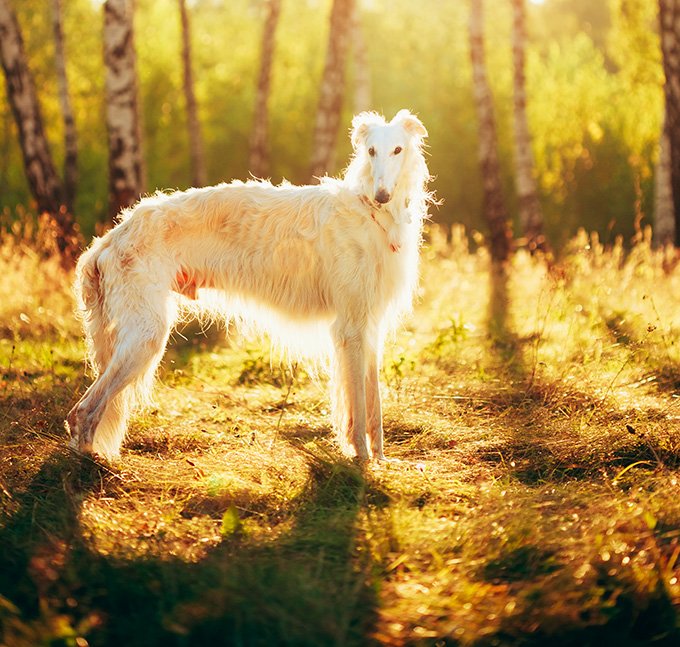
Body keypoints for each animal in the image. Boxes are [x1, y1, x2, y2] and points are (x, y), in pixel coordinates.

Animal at [66, 111, 432, 464]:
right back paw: (90, 464)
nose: (382, 196)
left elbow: (373, 406)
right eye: (371, 151)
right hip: (146, 335)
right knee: (83, 410)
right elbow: (357, 403)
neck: (369, 214)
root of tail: (110, 238)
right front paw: (362, 459)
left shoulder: (370, 326)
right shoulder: (351, 327)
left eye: (397, 149)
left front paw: (381, 459)